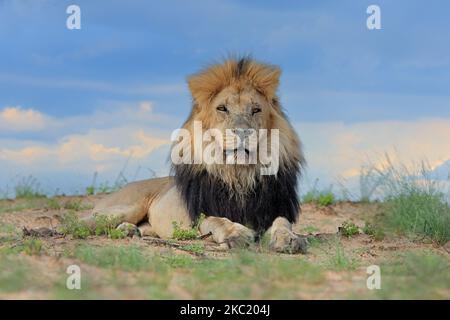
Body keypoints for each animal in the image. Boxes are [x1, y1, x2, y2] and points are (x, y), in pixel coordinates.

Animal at [86, 56, 308, 254]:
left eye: (256, 109)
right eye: (222, 108)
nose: (243, 132)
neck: (239, 176)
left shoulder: (273, 210)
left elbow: (282, 221)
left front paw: (289, 238)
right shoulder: (200, 215)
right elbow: (217, 220)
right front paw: (236, 233)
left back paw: (129, 231)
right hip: (121, 209)